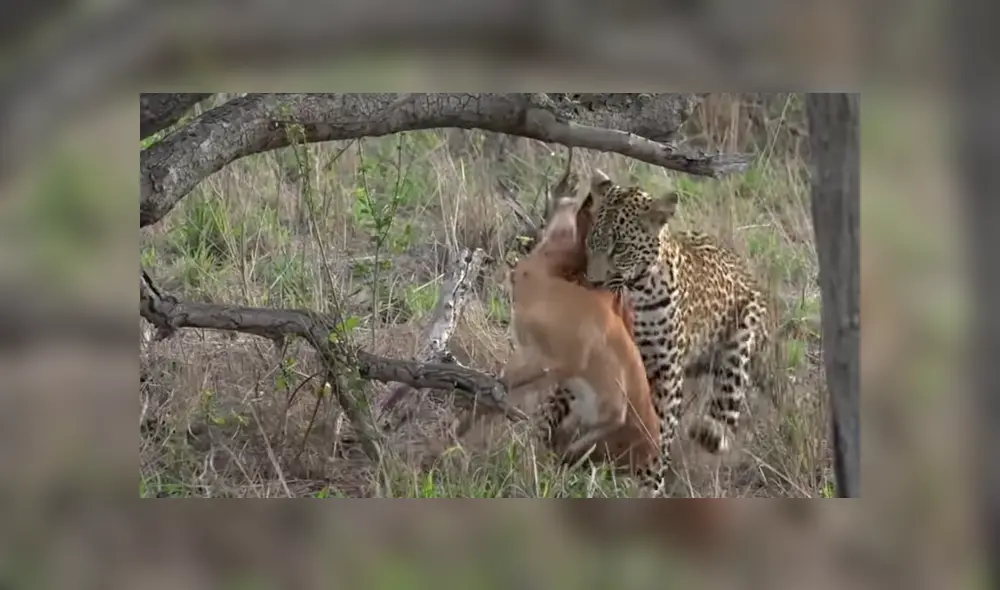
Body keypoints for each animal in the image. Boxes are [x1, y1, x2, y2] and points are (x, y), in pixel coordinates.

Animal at [582, 169, 770, 498]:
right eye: (593, 240)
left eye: (620, 247)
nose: (592, 282)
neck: (635, 292)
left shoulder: (664, 371)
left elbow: (658, 429)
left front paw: (648, 483)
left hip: (744, 333)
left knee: (726, 394)